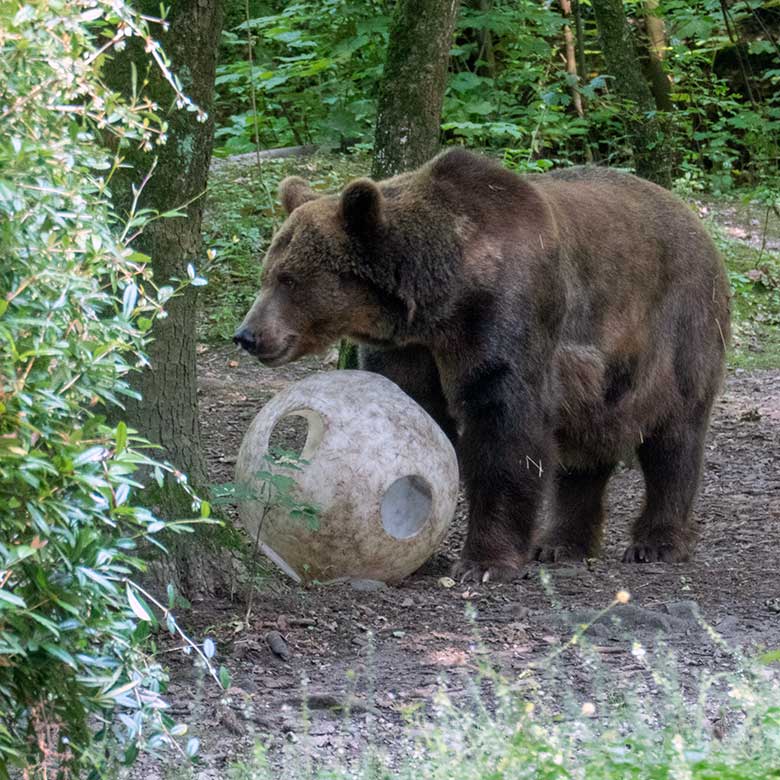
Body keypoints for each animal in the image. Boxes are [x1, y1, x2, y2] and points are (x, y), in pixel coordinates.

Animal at [233, 149, 732, 580]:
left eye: (289, 279)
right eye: (267, 274)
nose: (248, 335)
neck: (442, 299)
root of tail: (698, 223)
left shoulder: (503, 319)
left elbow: (505, 430)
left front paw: (485, 561)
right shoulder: (413, 348)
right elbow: (420, 412)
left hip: (676, 329)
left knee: (674, 437)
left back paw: (656, 541)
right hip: (603, 377)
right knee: (587, 452)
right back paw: (561, 543)